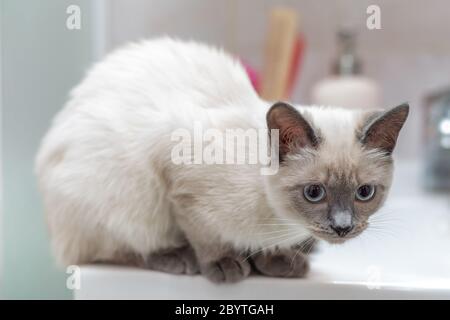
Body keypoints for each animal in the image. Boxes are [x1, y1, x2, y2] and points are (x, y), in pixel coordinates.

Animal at [34, 37, 408, 282]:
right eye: (314, 193)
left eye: (364, 193)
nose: (343, 227)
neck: (280, 220)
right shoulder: (177, 177)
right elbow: (204, 234)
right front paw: (224, 263)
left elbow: (264, 246)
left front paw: (276, 259)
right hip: (124, 197)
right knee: (112, 248)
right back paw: (175, 257)